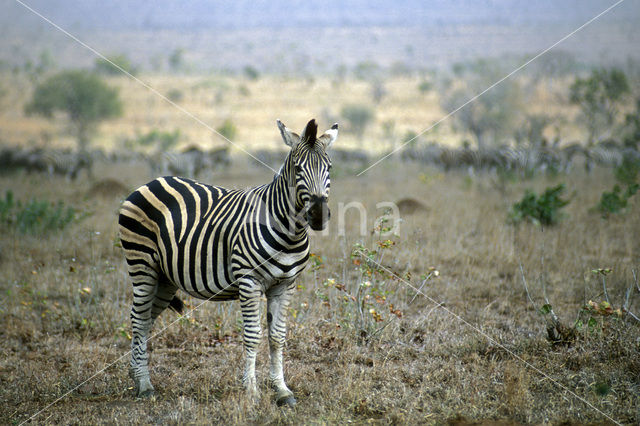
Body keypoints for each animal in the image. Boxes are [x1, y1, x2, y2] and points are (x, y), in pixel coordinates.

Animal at [118, 118, 338, 404]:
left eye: (329, 167)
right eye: (298, 168)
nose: (319, 215)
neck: (289, 230)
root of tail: (151, 182)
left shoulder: (285, 284)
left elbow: (277, 337)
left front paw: (281, 390)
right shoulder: (249, 281)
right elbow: (253, 336)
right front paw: (252, 391)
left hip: (164, 278)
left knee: (146, 321)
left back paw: (137, 377)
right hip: (142, 264)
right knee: (138, 318)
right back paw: (144, 385)